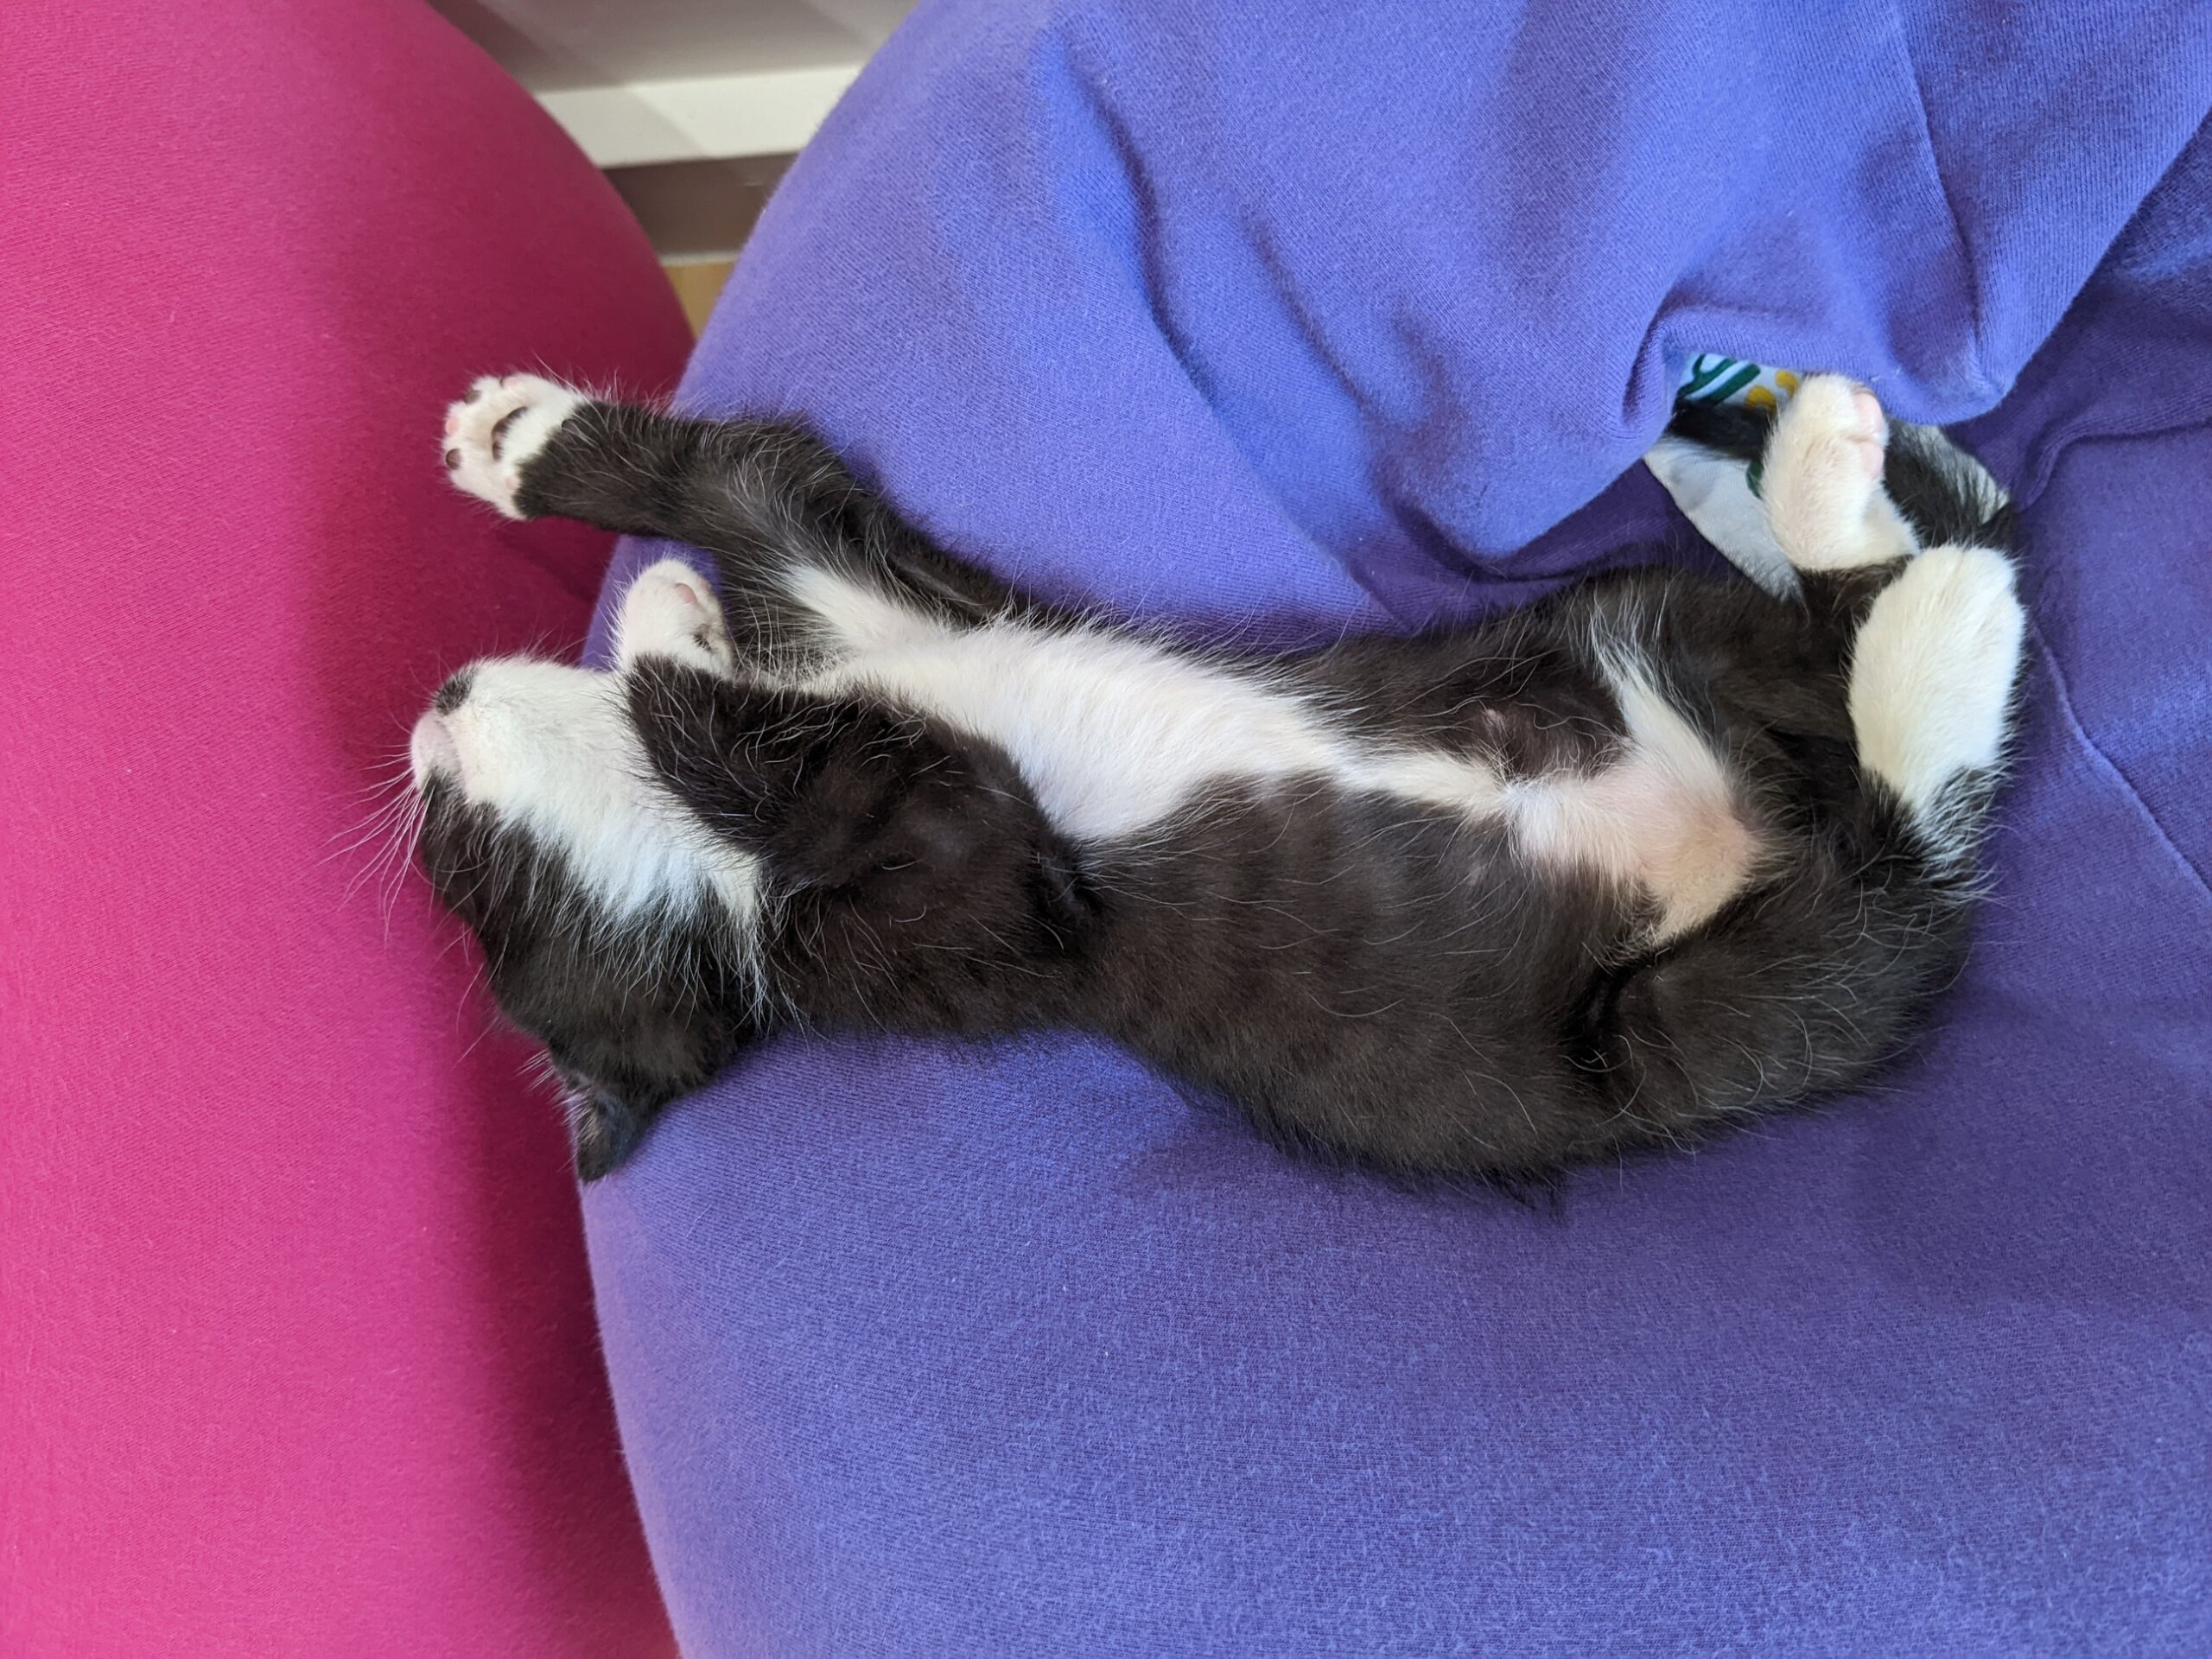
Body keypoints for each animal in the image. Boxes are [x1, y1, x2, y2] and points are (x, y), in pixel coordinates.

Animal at [412, 372, 2023, 1181]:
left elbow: (747, 481)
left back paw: (1820, 481)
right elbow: (899, 796)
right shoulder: (964, 919)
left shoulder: (875, 604)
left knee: (1836, 624)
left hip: (1623, 630)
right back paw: (1940, 625)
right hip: (1664, 1038)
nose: (435, 703)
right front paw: (664, 622)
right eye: (451, 856)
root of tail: (1757, 802)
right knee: (1869, 914)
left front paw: (526, 452)